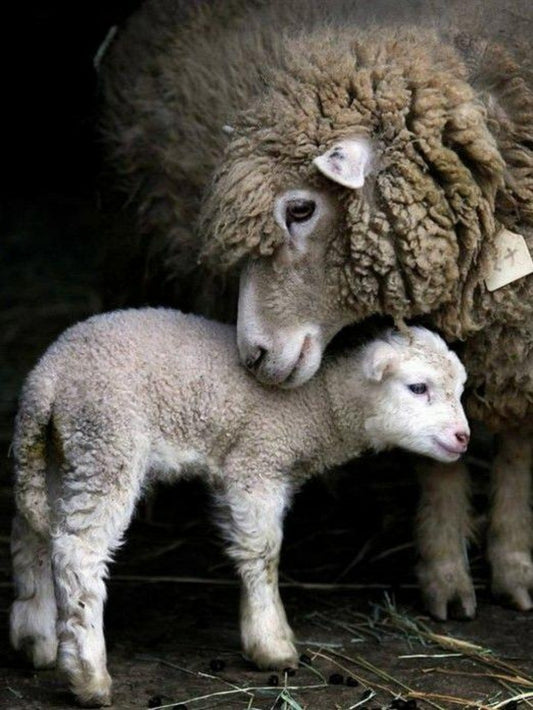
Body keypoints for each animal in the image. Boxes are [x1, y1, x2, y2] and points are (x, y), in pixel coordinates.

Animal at [10, 309, 468, 707]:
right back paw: (89, 678)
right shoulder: (256, 464)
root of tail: (46, 379)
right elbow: (262, 555)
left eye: (460, 390)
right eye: (417, 387)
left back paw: (36, 639)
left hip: (62, 451)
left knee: (33, 535)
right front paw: (272, 644)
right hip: (107, 442)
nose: (463, 437)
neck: (320, 405)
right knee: (78, 553)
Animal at [99, 0, 533, 619]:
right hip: (130, 234)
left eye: (300, 209)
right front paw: (447, 576)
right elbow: (434, 452)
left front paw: (514, 563)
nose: (253, 355)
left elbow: (515, 444)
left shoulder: (516, 335)